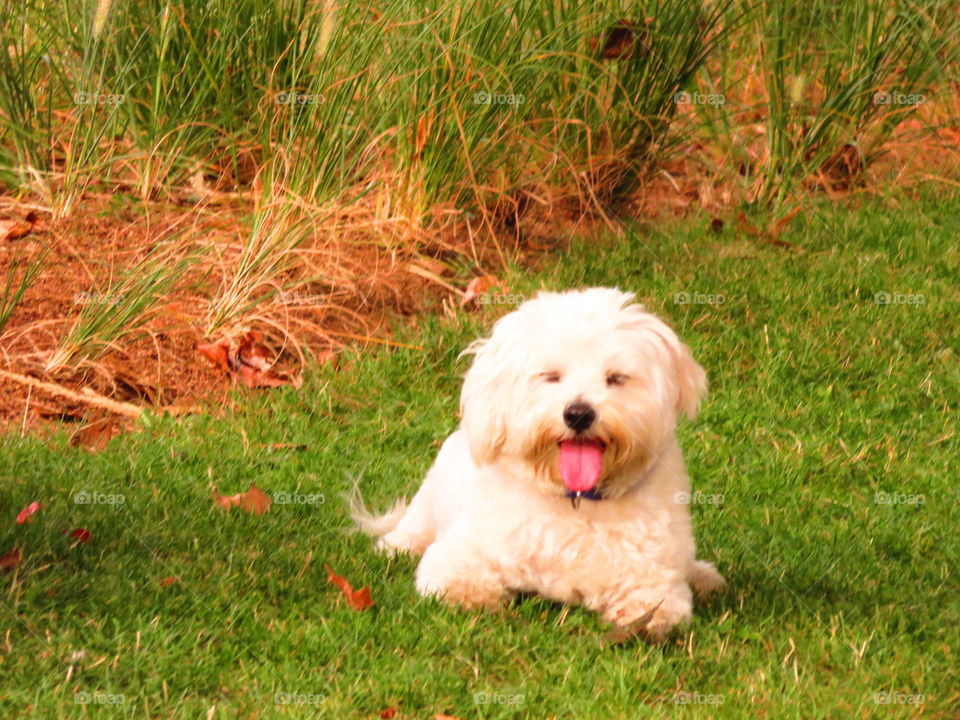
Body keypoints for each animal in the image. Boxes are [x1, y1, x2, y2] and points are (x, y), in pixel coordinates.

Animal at [356, 290, 724, 640]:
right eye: (551, 376)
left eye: (616, 378)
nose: (578, 414)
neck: (574, 499)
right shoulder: (459, 553)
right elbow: (457, 580)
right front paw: (476, 596)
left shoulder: (653, 579)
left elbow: (656, 605)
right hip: (430, 498)